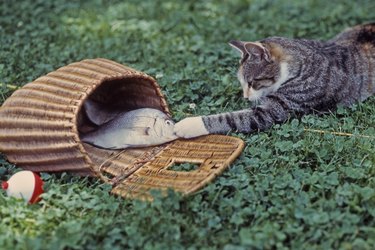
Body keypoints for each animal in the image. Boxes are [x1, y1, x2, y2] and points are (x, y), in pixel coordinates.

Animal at [174, 22, 375, 138]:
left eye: (252, 82)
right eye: (242, 83)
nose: (245, 97)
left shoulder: (276, 109)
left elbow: (232, 118)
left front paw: (188, 125)